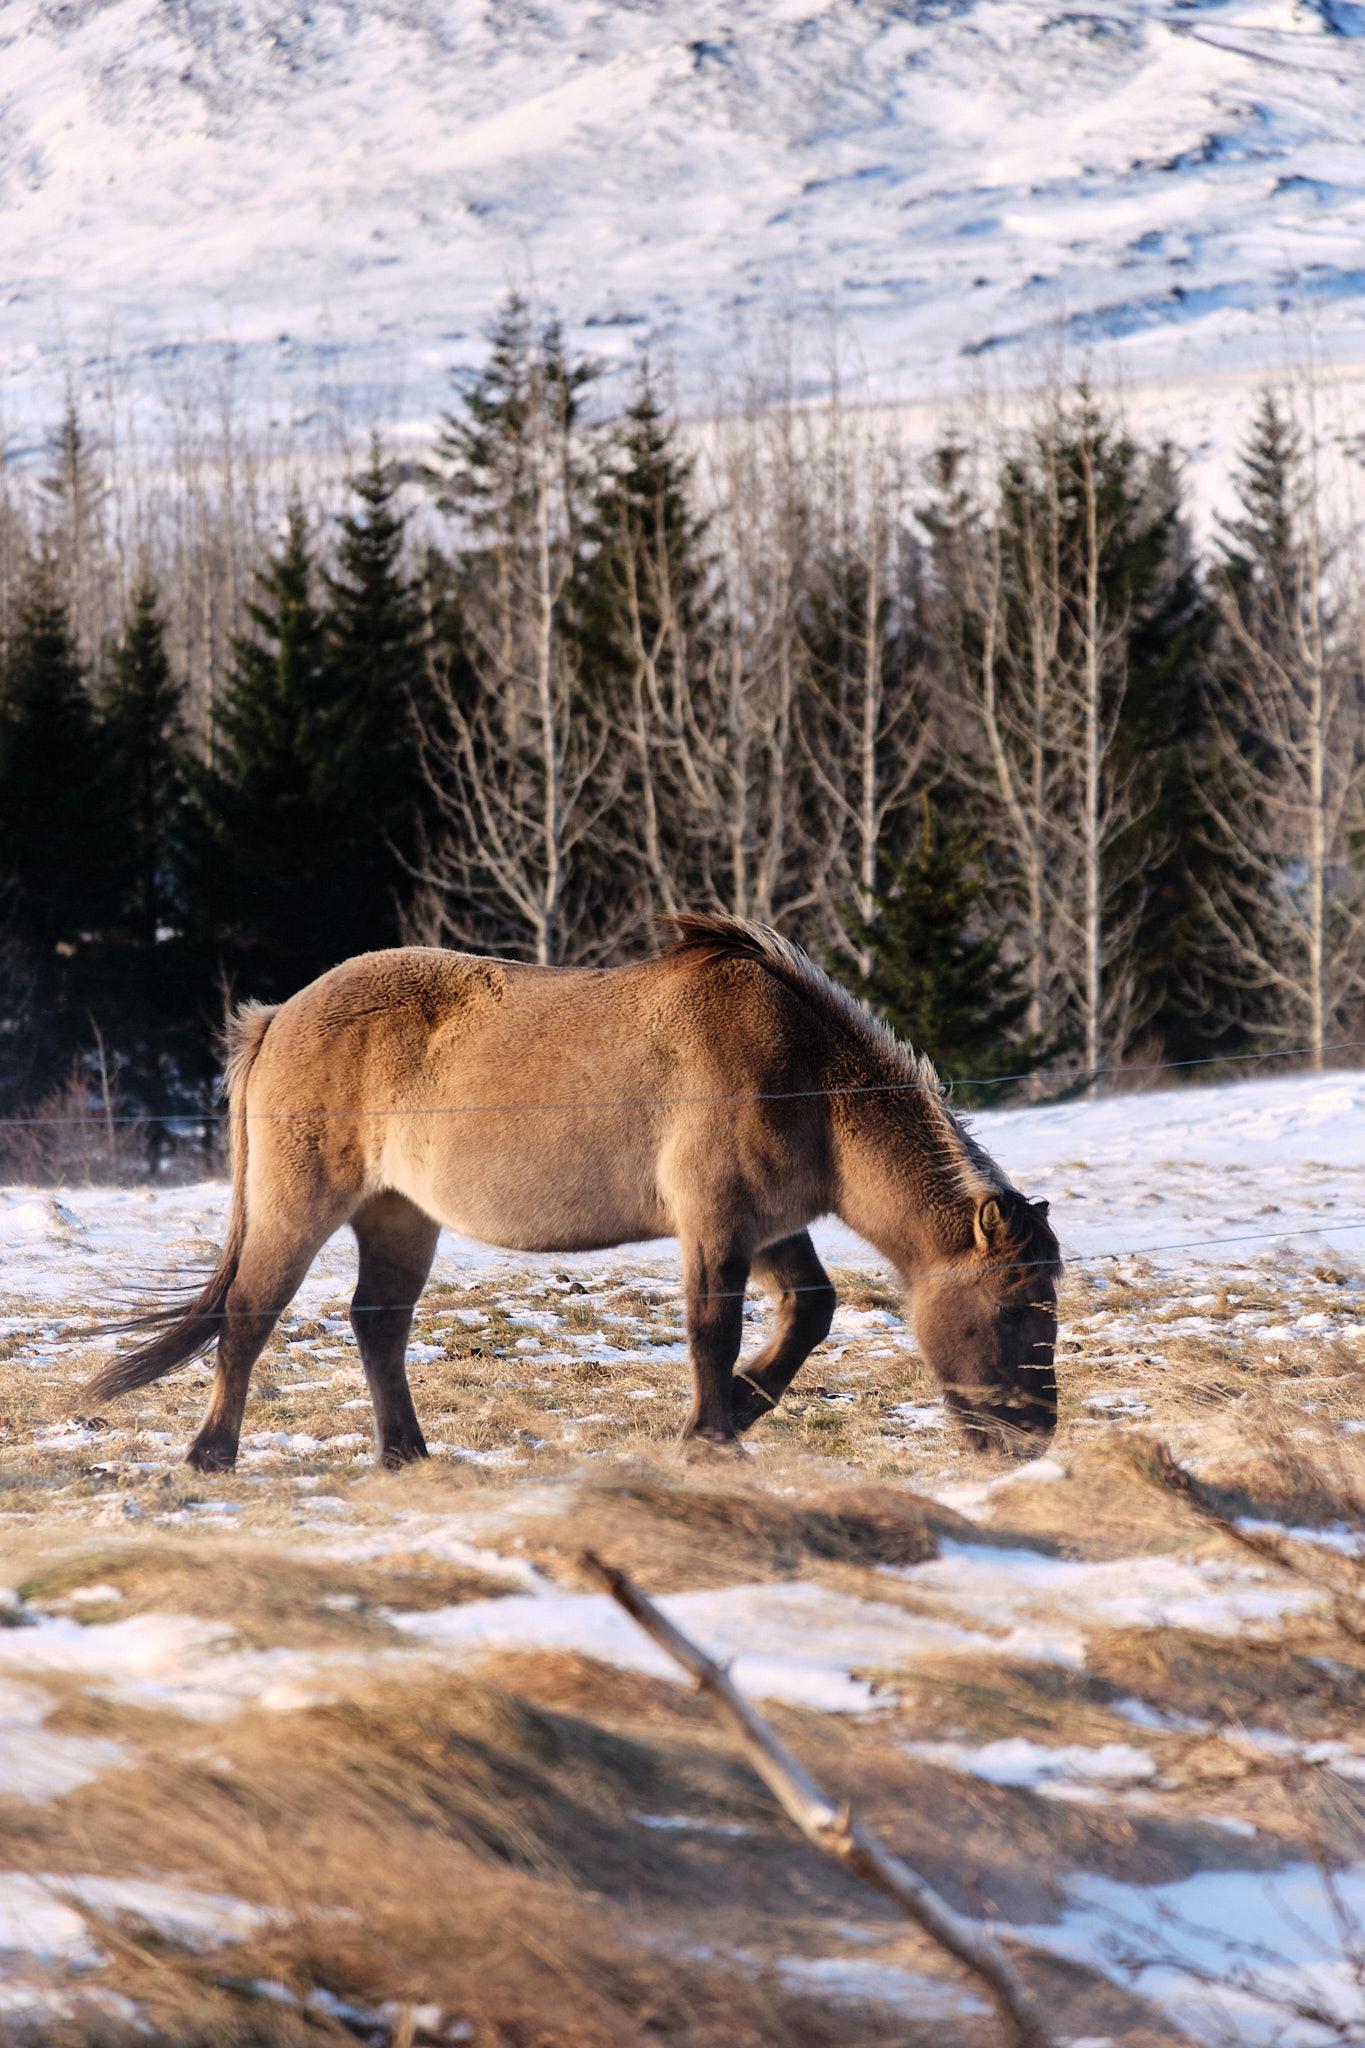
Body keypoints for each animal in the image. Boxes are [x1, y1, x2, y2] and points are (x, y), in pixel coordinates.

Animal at [84, 915, 1061, 1471]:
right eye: (1018, 1307)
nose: (1032, 1438)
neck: (803, 1074)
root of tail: (278, 1015)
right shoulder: (717, 1225)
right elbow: (711, 1331)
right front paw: (710, 1436)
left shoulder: (770, 1226)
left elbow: (808, 1313)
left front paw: (740, 1409)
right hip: (299, 1208)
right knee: (249, 1319)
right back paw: (211, 1456)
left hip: (398, 1218)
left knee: (377, 1326)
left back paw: (406, 1454)